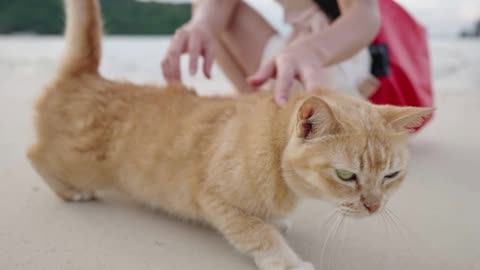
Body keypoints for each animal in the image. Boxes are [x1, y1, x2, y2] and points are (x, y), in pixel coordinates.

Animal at [28, 1, 434, 268]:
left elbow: (267, 222)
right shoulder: (216, 201)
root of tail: (87, 76)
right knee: (35, 156)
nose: (374, 206)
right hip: (75, 162)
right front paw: (286, 259)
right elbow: (258, 233)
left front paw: (276, 220)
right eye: (347, 175)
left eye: (391, 176)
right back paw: (72, 191)